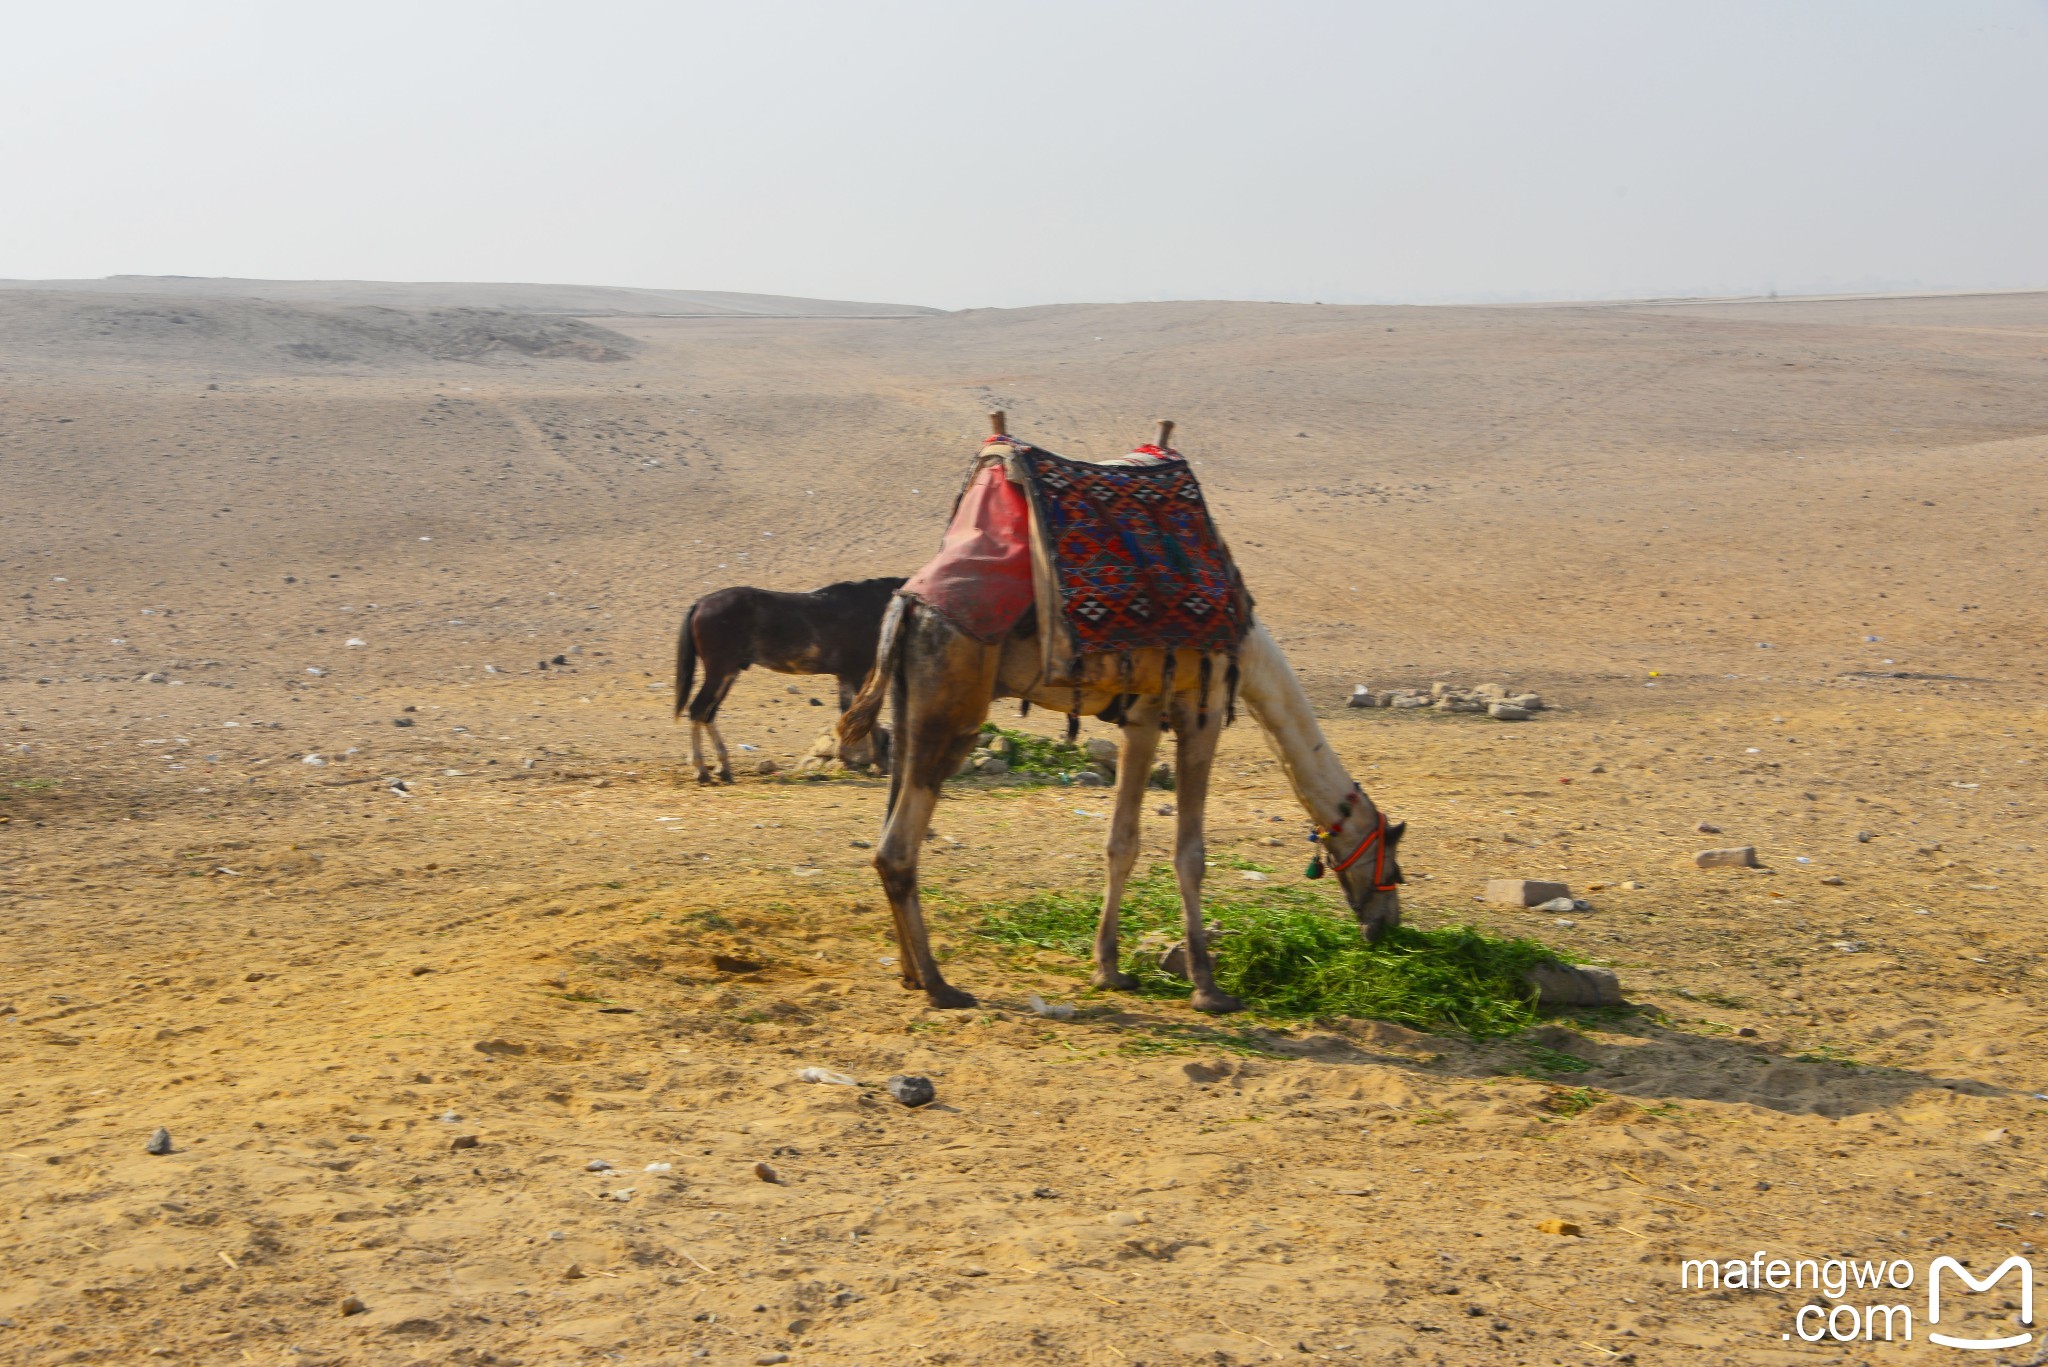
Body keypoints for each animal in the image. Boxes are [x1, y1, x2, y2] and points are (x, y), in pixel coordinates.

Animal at [839, 422, 1400, 1012]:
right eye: (1390, 853)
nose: (1386, 926)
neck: (1250, 653)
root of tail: (905, 606)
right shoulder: (1200, 709)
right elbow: (1190, 853)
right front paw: (1208, 988)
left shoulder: (1141, 717)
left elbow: (1120, 843)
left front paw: (1109, 969)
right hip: (954, 706)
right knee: (897, 848)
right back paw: (940, 985)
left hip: (911, 704)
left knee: (890, 826)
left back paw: (910, 974)